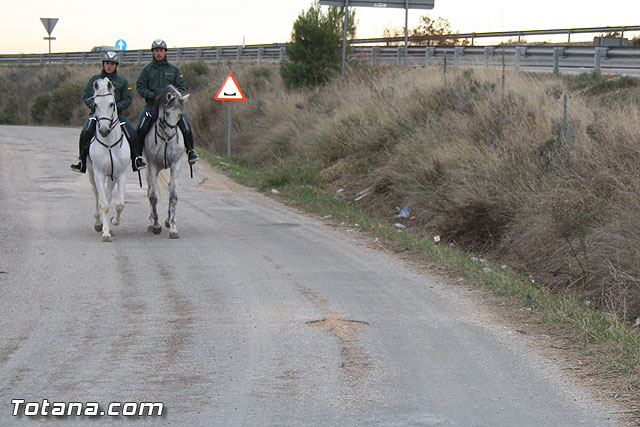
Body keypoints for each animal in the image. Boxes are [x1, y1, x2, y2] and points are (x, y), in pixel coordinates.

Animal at [86, 78, 130, 242]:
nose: (104, 130)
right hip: (92, 174)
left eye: (112, 103)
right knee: (98, 195)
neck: (110, 144)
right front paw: (105, 233)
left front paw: (113, 223)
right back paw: (99, 223)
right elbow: (103, 204)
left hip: (112, 176)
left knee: (109, 195)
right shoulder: (98, 173)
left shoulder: (121, 173)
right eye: (95, 105)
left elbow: (119, 204)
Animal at [143, 85, 190, 239]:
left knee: (169, 188)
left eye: (180, 115)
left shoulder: (176, 164)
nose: (170, 135)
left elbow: (173, 195)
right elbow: (153, 196)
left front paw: (173, 227)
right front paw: (156, 225)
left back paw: (168, 220)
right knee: (149, 190)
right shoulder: (152, 165)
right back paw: (151, 222)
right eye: (167, 112)